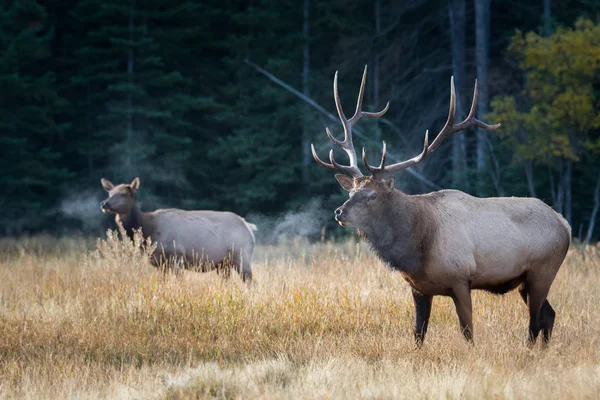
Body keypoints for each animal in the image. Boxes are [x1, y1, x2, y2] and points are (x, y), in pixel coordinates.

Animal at [101, 178, 255, 282]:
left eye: (123, 194)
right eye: (109, 193)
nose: (104, 203)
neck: (148, 230)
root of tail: (249, 227)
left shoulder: (177, 256)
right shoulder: (160, 262)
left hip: (241, 255)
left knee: (250, 282)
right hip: (223, 263)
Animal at [314, 67, 572, 346]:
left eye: (372, 195)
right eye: (351, 191)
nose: (340, 212)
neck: (418, 246)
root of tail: (564, 223)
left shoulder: (461, 279)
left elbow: (468, 332)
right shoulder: (418, 287)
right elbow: (418, 332)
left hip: (543, 270)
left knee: (535, 321)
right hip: (526, 280)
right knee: (549, 314)